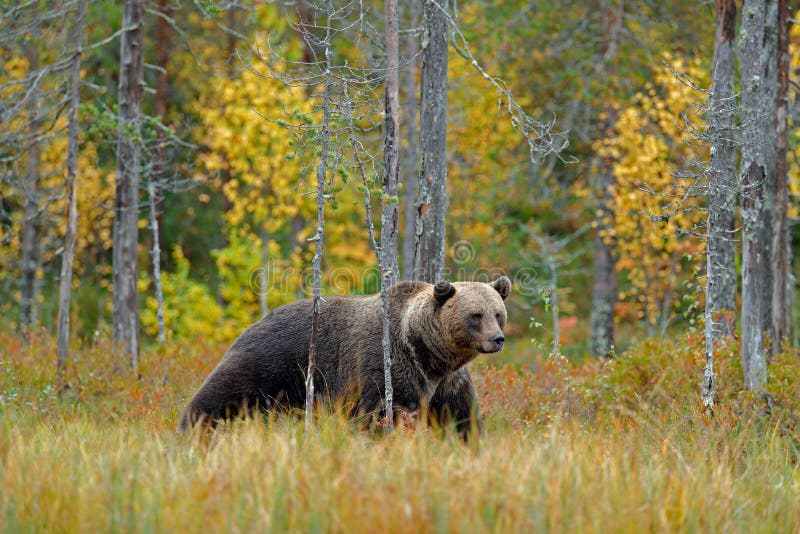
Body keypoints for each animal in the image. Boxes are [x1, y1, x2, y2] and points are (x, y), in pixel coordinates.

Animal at [178, 276, 510, 440]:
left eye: (498, 314)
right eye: (475, 315)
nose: (497, 339)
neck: (428, 353)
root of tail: (252, 323)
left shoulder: (447, 381)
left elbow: (460, 415)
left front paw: (471, 442)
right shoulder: (389, 367)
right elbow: (381, 412)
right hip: (271, 361)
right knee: (221, 394)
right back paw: (191, 430)